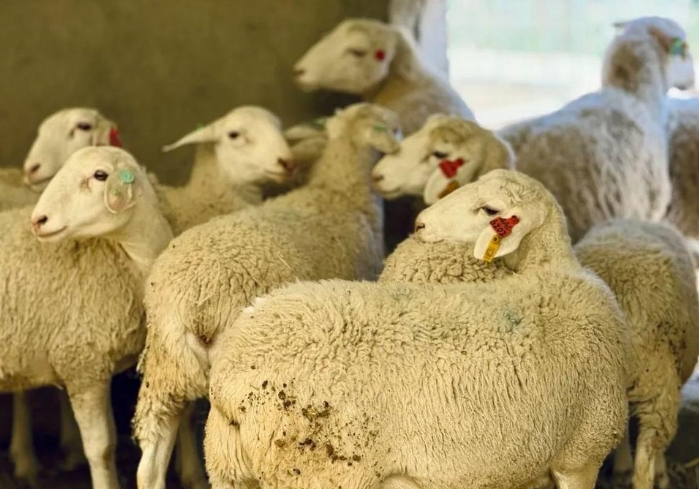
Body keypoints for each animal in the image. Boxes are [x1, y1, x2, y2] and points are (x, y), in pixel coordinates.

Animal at [203, 169, 629, 489]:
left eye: (490, 209)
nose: (420, 223)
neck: (553, 272)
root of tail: (228, 375)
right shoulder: (580, 456)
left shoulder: (570, 459)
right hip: (320, 472)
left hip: (227, 468)